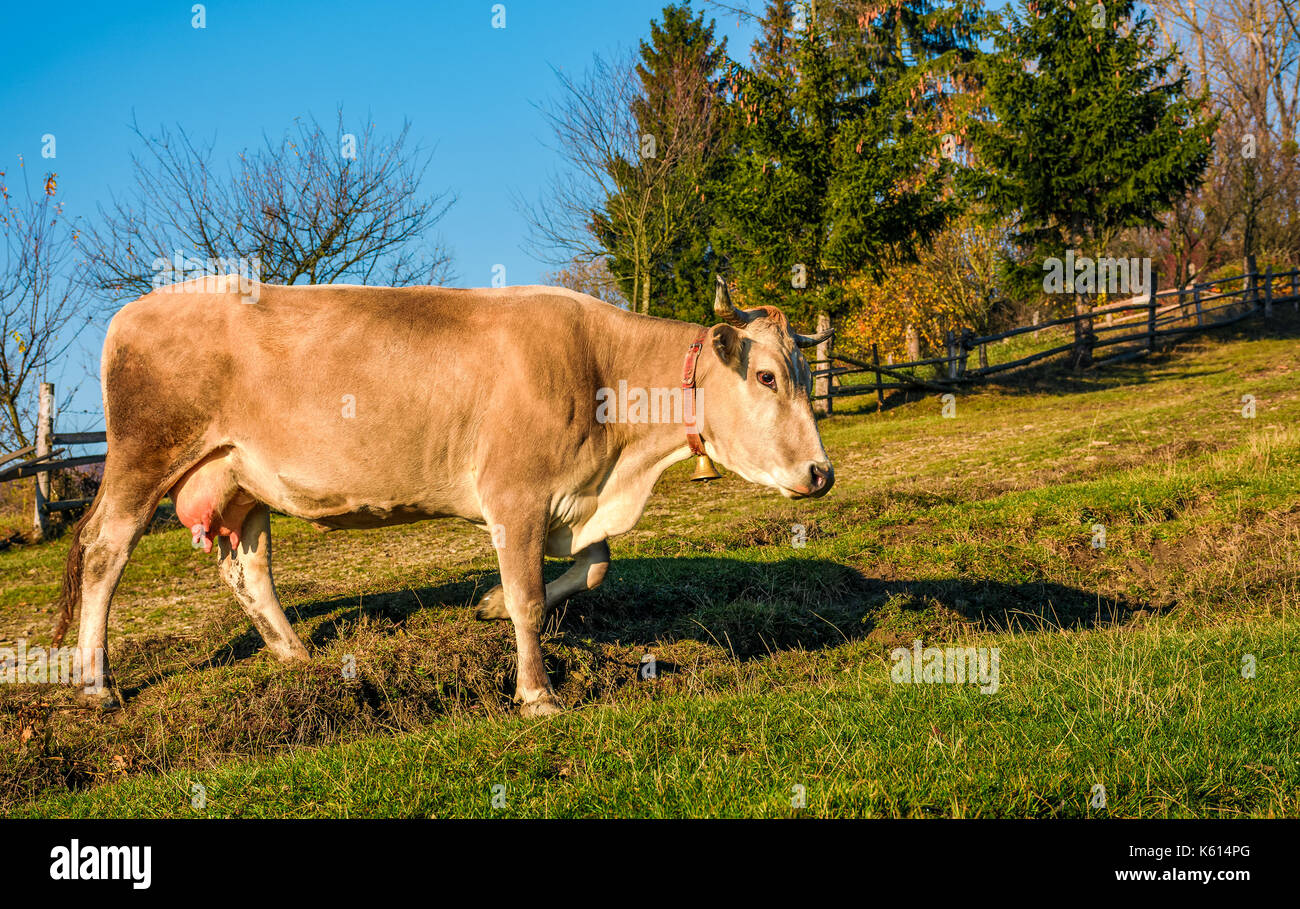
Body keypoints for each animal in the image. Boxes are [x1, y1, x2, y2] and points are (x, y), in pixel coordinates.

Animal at [50, 274, 832, 712]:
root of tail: (135, 311)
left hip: (238, 478)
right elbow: (528, 596)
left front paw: (485, 606)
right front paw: (537, 694)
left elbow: (594, 565)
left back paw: (294, 655)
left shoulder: (573, 502)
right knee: (104, 551)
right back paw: (96, 683)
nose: (821, 473)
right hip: (144, 459)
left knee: (247, 567)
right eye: (766, 376)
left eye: (804, 371)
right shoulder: (515, 494)